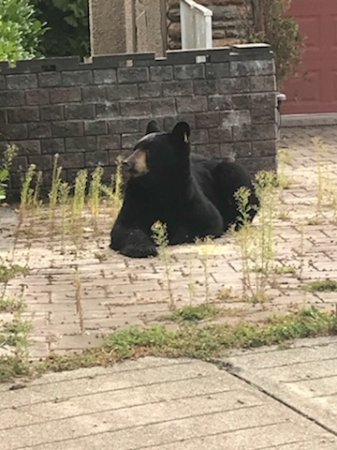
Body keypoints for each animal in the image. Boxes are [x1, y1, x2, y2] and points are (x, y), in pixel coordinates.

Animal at [109, 121, 258, 258]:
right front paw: (142, 248)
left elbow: (208, 221)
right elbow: (124, 227)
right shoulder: (135, 197)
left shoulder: (187, 194)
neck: (158, 185)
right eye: (135, 148)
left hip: (230, 172)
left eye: (150, 150)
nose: (127, 163)